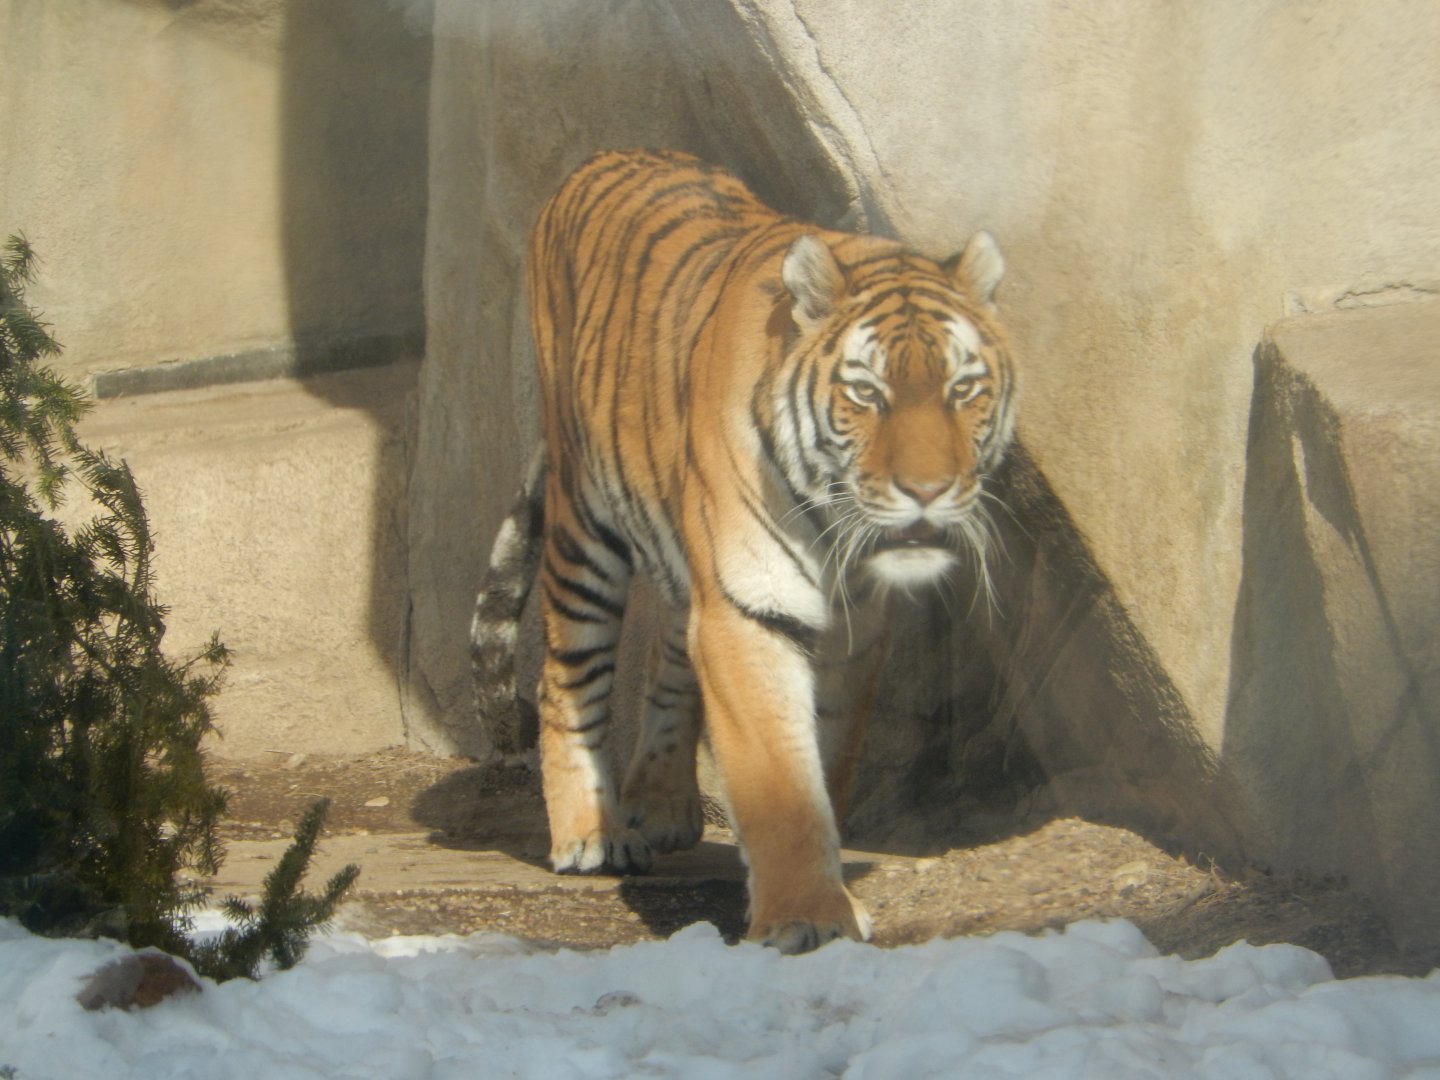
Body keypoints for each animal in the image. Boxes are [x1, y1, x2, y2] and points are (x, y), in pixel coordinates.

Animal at [471, 149, 1016, 954]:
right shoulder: (747, 612)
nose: (928, 490)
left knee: (667, 652)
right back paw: (589, 834)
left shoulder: (854, 633)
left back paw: (662, 806)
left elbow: (825, 766)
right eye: (867, 393)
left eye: (964, 388)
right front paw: (807, 917)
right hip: (583, 526)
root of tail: (603, 157)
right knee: (566, 673)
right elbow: (780, 777)